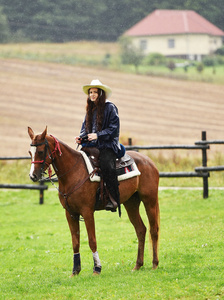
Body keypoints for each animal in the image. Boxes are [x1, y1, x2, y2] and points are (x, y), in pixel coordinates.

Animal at [28, 125, 159, 276]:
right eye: (30, 152)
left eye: (40, 151)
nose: (33, 176)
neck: (73, 173)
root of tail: (149, 161)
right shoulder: (70, 213)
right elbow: (75, 242)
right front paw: (75, 271)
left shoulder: (87, 212)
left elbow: (92, 240)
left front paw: (97, 268)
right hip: (131, 203)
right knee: (140, 229)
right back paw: (138, 265)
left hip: (150, 200)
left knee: (154, 229)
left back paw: (155, 264)